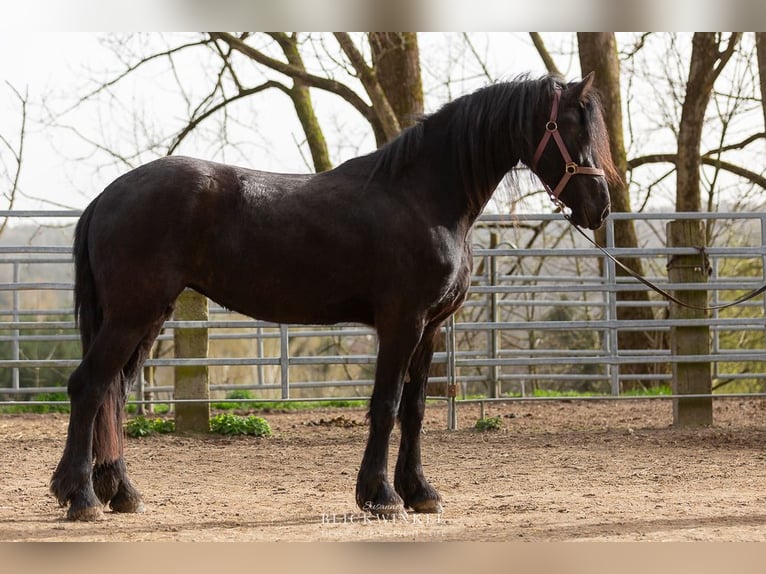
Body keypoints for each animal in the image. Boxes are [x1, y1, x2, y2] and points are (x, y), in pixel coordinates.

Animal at [49, 72, 616, 520]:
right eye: (569, 127)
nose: (600, 207)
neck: (424, 197)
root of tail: (107, 195)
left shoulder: (430, 329)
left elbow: (415, 410)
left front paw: (420, 492)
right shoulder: (402, 322)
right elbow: (386, 405)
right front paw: (381, 497)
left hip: (147, 318)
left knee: (114, 395)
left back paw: (120, 492)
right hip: (132, 314)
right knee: (89, 387)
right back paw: (81, 498)